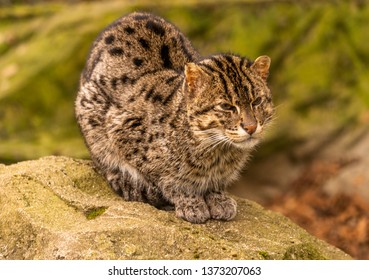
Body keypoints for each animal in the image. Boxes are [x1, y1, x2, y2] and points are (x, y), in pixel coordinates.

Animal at [75, 12, 272, 224]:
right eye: (226, 106)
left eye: (257, 101)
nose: (251, 127)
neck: (218, 152)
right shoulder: (121, 130)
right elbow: (167, 181)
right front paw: (190, 202)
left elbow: (214, 185)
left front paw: (217, 198)